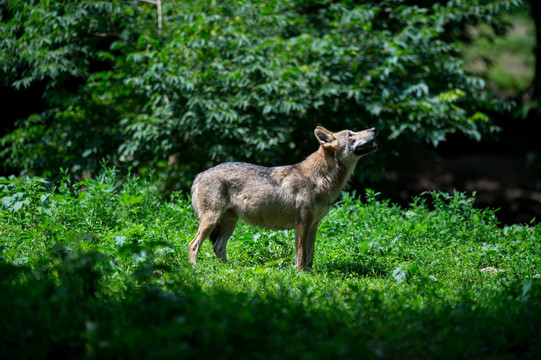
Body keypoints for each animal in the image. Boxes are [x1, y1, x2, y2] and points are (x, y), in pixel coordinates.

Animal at [188, 126, 378, 270]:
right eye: (351, 134)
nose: (374, 128)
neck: (321, 179)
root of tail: (199, 175)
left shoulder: (314, 225)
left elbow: (310, 255)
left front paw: (310, 275)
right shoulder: (302, 224)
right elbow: (300, 254)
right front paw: (299, 274)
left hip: (230, 223)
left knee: (218, 247)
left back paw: (229, 269)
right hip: (211, 221)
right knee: (193, 245)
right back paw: (196, 269)